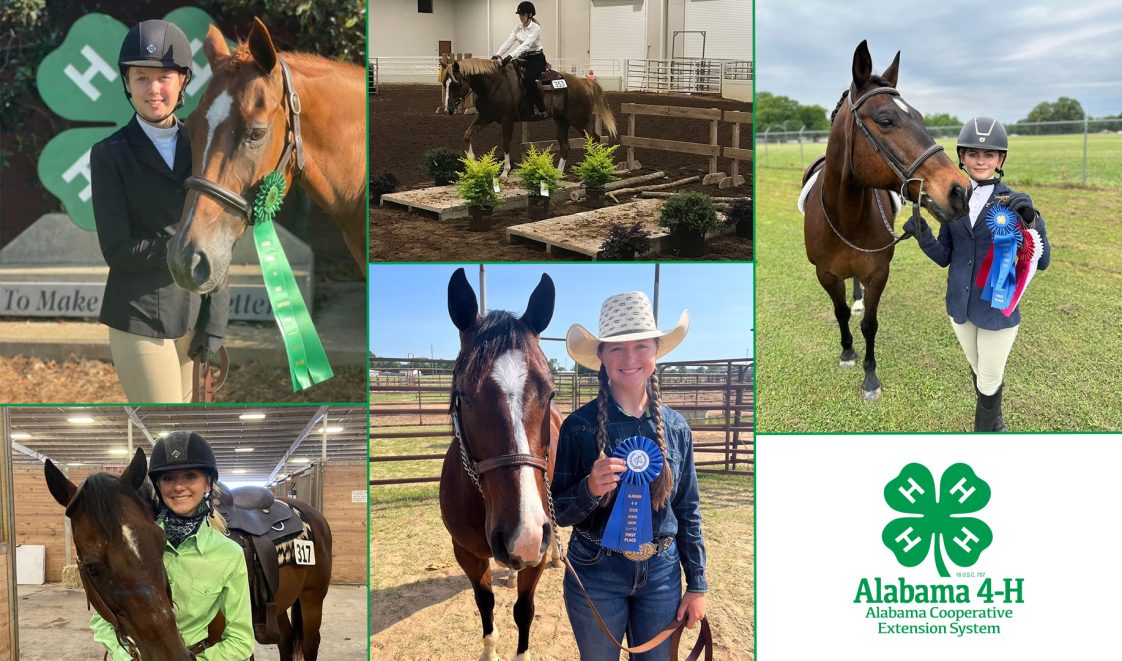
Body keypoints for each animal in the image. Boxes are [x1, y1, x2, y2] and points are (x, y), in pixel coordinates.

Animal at [440, 267, 563, 661]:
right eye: (464, 395)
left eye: (550, 392)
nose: (523, 536)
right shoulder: (466, 552)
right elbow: (485, 603)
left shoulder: (536, 549)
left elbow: (524, 610)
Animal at [441, 58, 618, 177]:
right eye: (444, 83)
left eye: (456, 83)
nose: (448, 109)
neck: (494, 85)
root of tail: (584, 82)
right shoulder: (485, 117)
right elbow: (467, 134)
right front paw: (473, 162)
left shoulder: (507, 119)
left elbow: (506, 143)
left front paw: (505, 173)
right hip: (562, 121)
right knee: (565, 146)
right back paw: (557, 174)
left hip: (579, 121)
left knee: (595, 139)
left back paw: (595, 165)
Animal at [802, 40, 970, 400]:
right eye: (886, 119)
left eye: (920, 117)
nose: (959, 191)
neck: (846, 218)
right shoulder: (825, 274)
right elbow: (839, 313)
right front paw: (847, 353)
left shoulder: (878, 273)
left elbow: (870, 324)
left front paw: (870, 377)